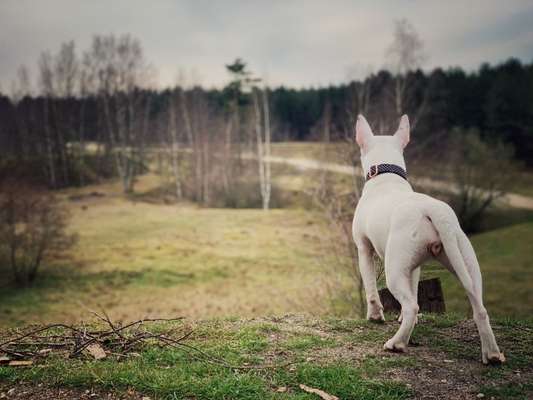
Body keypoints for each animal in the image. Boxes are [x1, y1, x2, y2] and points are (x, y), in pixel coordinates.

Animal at [352, 114, 504, 364]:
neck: (386, 176)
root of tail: (435, 211)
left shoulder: (364, 249)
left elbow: (371, 288)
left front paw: (375, 316)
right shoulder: (413, 266)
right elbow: (414, 286)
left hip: (394, 270)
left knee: (412, 305)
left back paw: (396, 344)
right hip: (465, 263)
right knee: (479, 308)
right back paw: (492, 355)